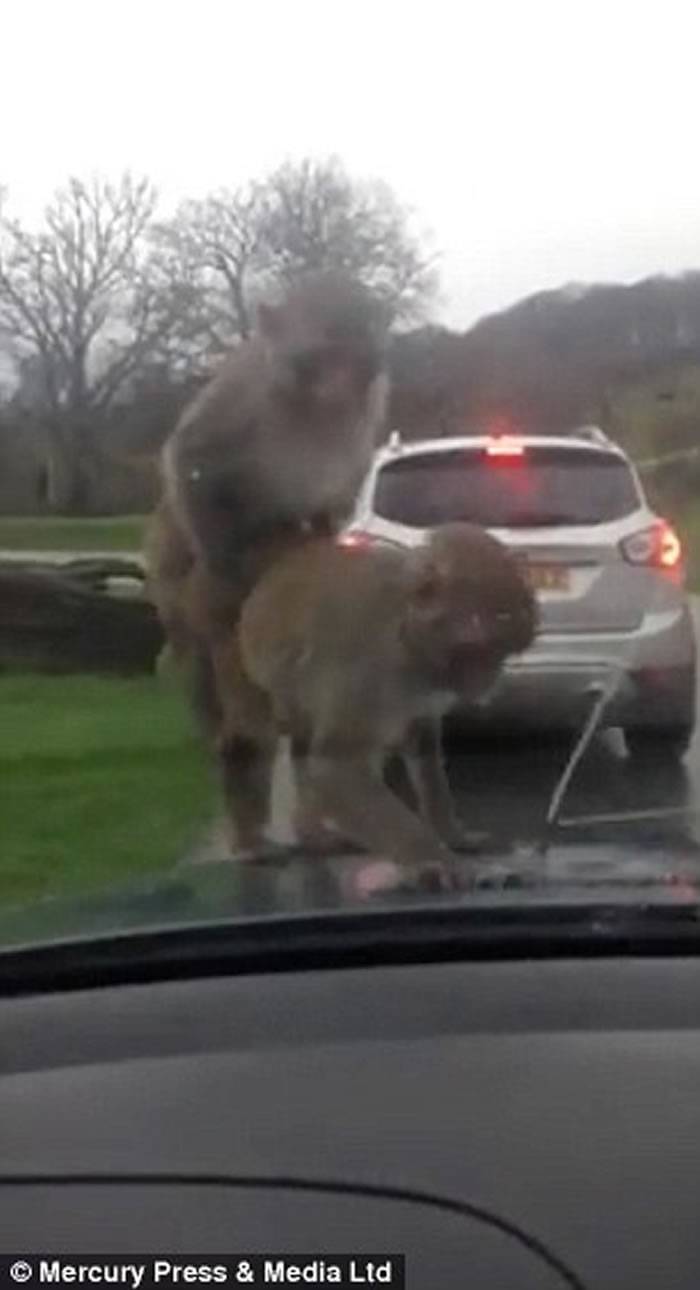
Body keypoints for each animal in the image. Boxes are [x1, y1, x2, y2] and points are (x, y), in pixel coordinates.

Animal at [223, 523, 536, 887]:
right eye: (475, 649)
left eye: (500, 652)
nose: (487, 680)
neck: (408, 636)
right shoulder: (368, 669)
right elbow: (334, 767)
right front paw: (435, 859)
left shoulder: (421, 690)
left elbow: (421, 742)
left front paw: (451, 834)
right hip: (244, 661)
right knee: (252, 738)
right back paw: (251, 843)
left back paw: (313, 834)